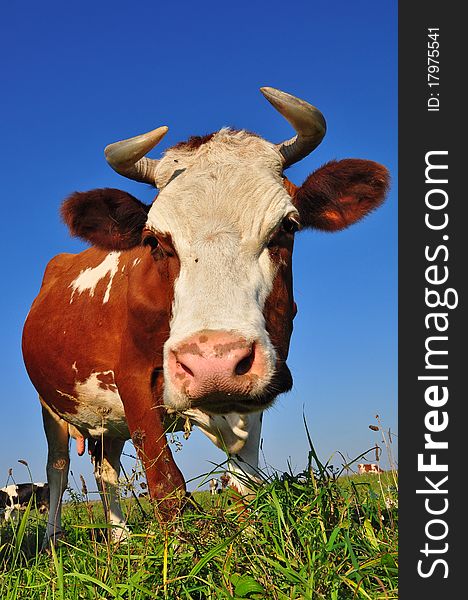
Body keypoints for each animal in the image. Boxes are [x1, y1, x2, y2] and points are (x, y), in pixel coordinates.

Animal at [21, 86, 388, 548]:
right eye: (154, 241)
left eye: (288, 226)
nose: (213, 364)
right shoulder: (132, 378)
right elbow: (167, 484)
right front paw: (177, 554)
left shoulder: (251, 391)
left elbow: (246, 482)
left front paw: (249, 541)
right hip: (50, 406)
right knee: (58, 468)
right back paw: (53, 544)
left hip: (107, 419)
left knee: (106, 471)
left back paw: (121, 541)